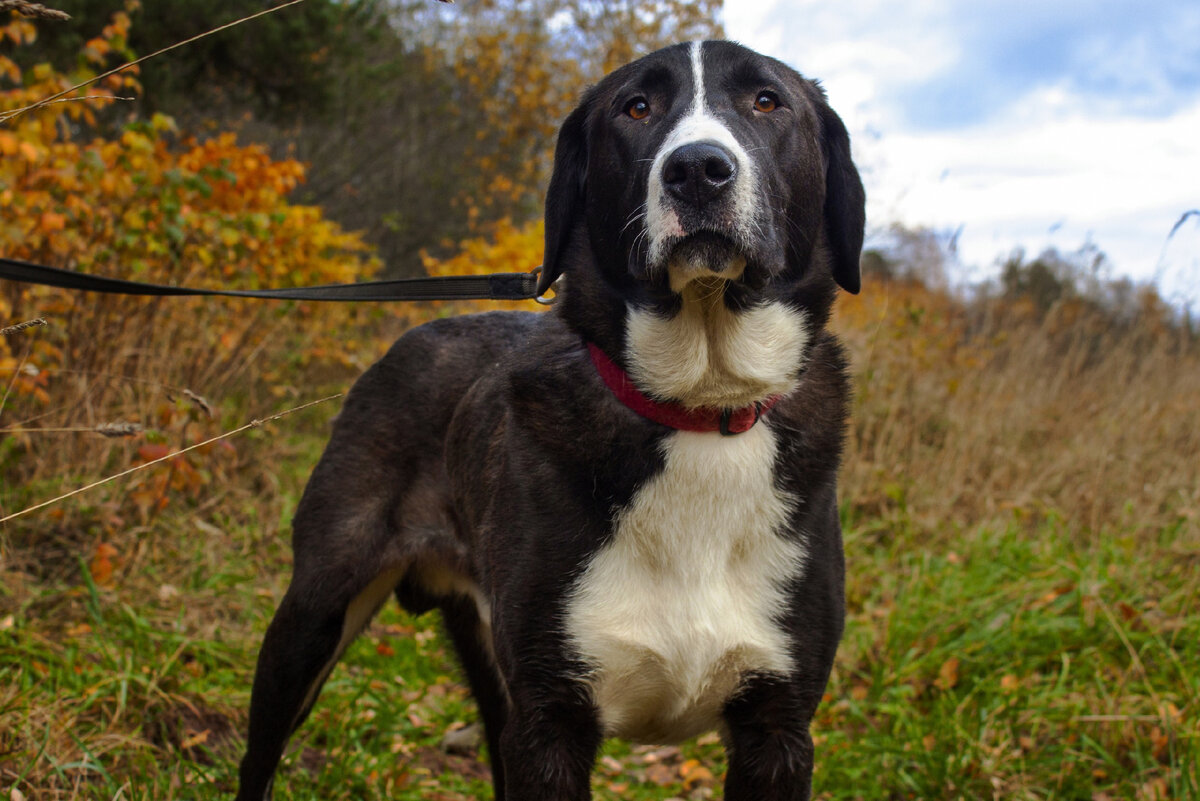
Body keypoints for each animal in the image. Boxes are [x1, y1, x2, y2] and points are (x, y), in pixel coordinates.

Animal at [234, 38, 859, 801]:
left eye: (767, 101)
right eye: (636, 107)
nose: (697, 171)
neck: (697, 408)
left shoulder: (779, 731)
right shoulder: (548, 723)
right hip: (314, 616)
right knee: (260, 754)